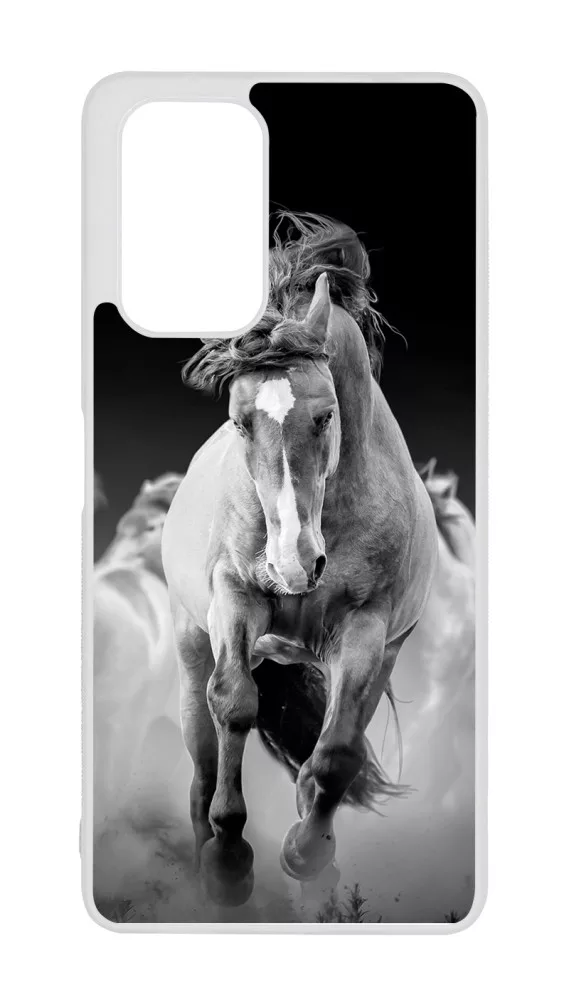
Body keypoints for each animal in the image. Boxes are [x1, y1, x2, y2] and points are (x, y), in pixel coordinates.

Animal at [162, 213, 439, 906]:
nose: (292, 564)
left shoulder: (366, 630)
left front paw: (307, 854)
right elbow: (235, 704)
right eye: (239, 422)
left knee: (335, 747)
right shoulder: (234, 599)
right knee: (202, 762)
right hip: (190, 646)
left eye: (325, 415)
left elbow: (337, 755)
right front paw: (230, 860)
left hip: (381, 657)